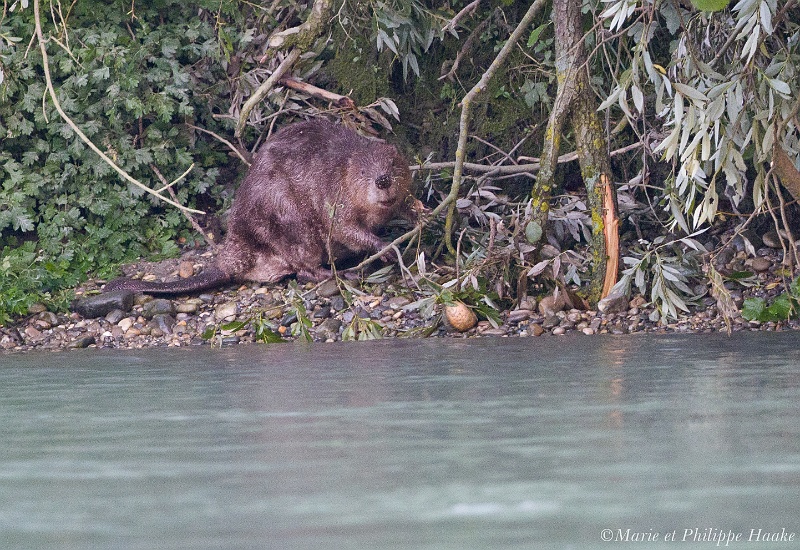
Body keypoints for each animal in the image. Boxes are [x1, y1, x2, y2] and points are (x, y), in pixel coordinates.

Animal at [105, 118, 416, 296]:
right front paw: (386, 247)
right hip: (290, 223)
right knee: (304, 268)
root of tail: (229, 261)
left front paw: (418, 216)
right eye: (363, 172)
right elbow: (343, 228)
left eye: (393, 164)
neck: (342, 169)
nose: (382, 179)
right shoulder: (333, 197)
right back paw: (341, 274)